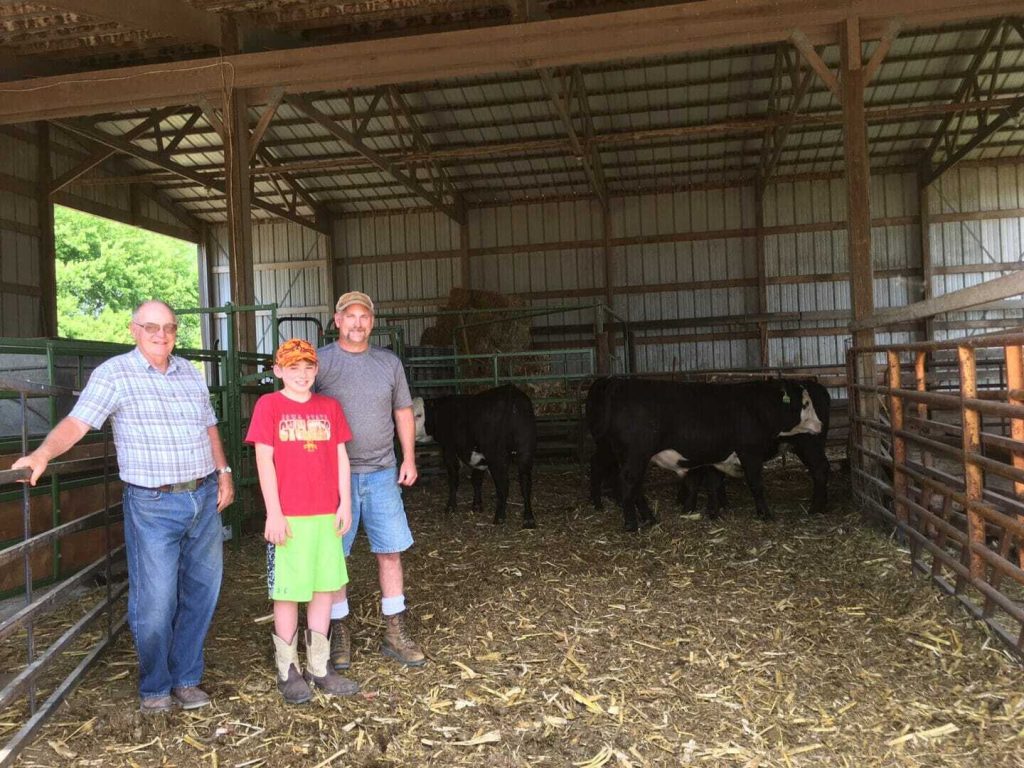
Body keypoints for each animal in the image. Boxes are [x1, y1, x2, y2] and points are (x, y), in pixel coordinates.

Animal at [411, 385, 536, 528]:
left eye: (419, 414)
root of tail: (511, 392)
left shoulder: (449, 450)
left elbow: (454, 480)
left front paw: (451, 507)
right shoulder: (480, 459)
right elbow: (476, 480)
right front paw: (476, 505)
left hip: (497, 455)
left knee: (503, 485)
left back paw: (499, 517)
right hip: (525, 450)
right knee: (525, 483)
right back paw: (528, 518)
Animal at [589, 376, 819, 532]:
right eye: (805, 404)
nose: (820, 424)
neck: (756, 407)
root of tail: (620, 383)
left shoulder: (717, 457)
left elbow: (714, 484)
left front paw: (713, 513)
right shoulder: (750, 452)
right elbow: (756, 484)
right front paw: (765, 514)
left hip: (628, 455)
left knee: (634, 485)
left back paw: (650, 519)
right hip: (636, 454)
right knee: (628, 482)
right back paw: (631, 524)